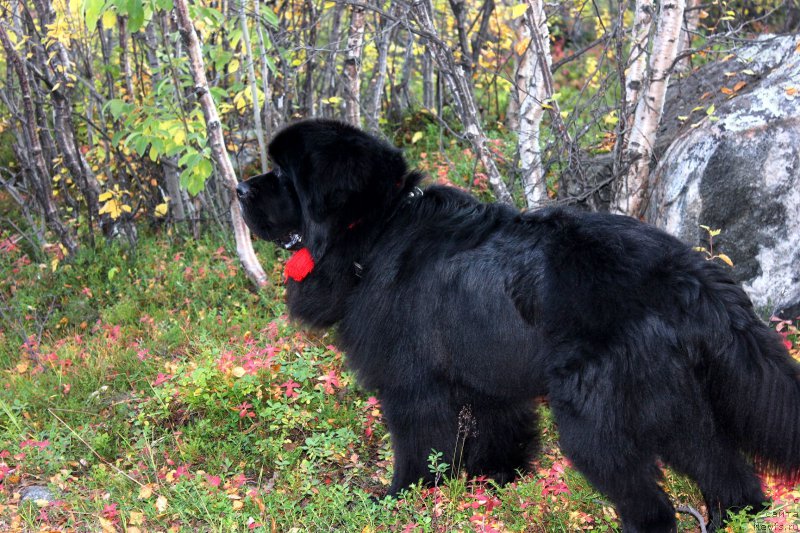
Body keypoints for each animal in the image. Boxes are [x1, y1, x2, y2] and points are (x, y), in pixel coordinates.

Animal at [239, 118, 800, 528]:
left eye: (284, 177)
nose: (241, 189)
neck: (375, 230)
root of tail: (685, 271)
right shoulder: (486, 376)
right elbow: (499, 436)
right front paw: (495, 488)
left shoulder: (411, 386)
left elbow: (419, 450)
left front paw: (400, 500)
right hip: (673, 402)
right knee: (726, 472)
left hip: (595, 416)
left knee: (651, 505)